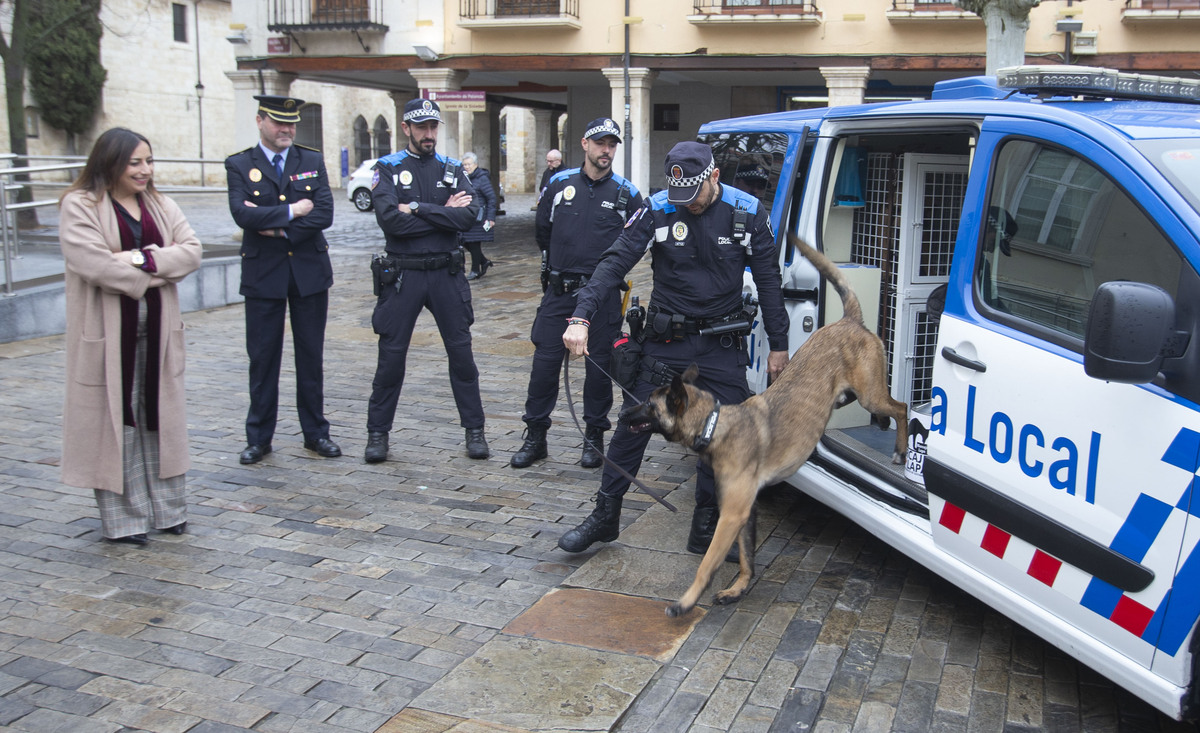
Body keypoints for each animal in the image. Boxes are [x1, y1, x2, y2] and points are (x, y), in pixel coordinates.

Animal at [619, 237, 907, 614]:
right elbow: (746, 558)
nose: (623, 415)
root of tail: (849, 321)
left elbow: (707, 563)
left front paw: (686, 602)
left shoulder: (732, 514)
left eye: (649, 406)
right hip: (853, 394)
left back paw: (901, 449)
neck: (715, 424)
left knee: (902, 408)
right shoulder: (745, 511)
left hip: (870, 394)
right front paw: (738, 589)